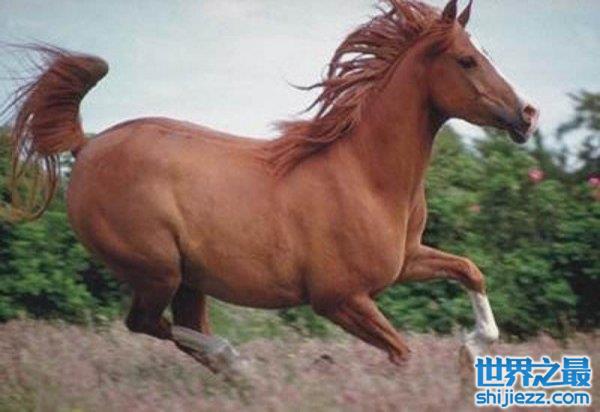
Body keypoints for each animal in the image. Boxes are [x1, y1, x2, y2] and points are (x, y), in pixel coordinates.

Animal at [3, 0, 538, 376]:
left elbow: (470, 270)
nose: (527, 115)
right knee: (150, 324)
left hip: (188, 279)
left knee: (180, 325)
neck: (367, 176)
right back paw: (238, 365)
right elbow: (401, 350)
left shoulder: (405, 261)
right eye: (467, 60)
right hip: (156, 269)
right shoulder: (339, 299)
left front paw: (472, 348)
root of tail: (87, 145)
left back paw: (235, 374)